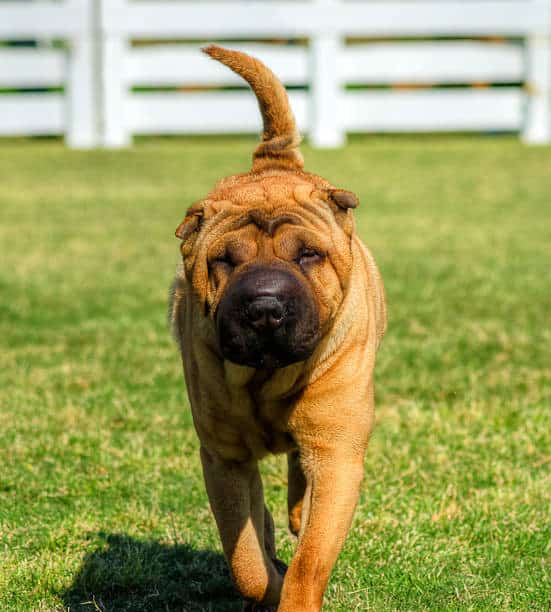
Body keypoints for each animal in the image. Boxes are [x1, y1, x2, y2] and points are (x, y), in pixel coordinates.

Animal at [169, 45, 388, 608]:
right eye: (224, 261)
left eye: (308, 255)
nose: (266, 306)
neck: (266, 381)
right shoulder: (223, 458)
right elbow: (245, 557)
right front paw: (266, 579)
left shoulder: (337, 453)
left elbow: (312, 559)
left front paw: (293, 585)